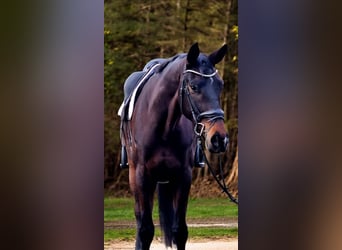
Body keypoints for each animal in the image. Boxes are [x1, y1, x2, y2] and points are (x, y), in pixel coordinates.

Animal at [120, 42, 230, 249]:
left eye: (220, 85)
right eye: (193, 87)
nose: (220, 138)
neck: (163, 127)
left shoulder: (183, 176)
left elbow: (179, 231)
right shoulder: (141, 176)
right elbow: (145, 230)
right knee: (140, 222)